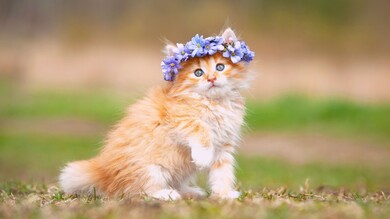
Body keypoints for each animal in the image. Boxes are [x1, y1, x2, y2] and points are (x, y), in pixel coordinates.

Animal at [58, 27, 253, 200]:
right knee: (137, 191)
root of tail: (105, 174)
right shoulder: (177, 119)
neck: (213, 102)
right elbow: (200, 129)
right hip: (150, 170)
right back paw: (166, 194)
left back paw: (190, 192)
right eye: (198, 73)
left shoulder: (224, 146)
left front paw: (224, 194)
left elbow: (223, 172)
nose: (211, 78)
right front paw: (203, 156)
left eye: (220, 67)